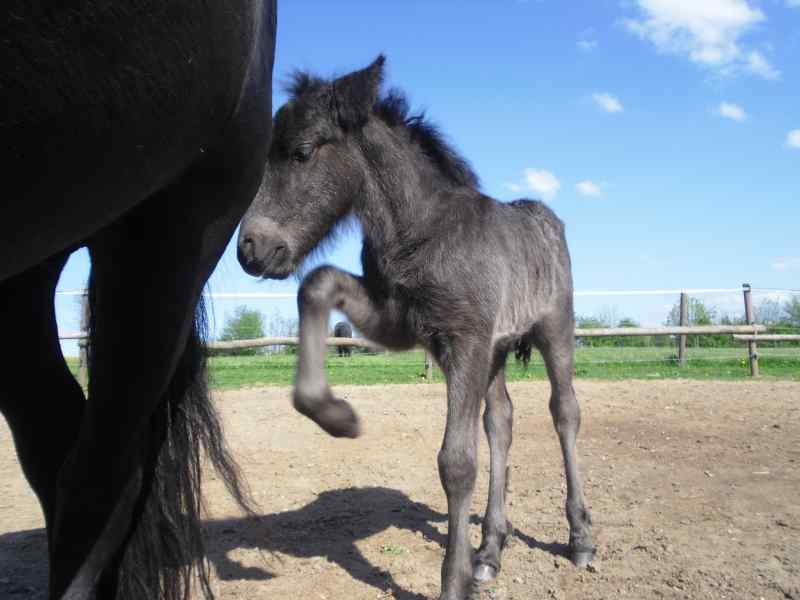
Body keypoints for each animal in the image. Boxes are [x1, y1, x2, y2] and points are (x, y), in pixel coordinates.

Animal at [241, 55, 596, 596]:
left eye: (301, 152)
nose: (251, 249)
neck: (420, 231)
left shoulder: (464, 340)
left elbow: (457, 461)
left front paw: (453, 583)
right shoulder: (400, 323)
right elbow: (317, 284)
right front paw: (336, 415)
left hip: (554, 328)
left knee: (565, 412)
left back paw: (579, 538)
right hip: (494, 350)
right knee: (501, 421)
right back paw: (490, 551)